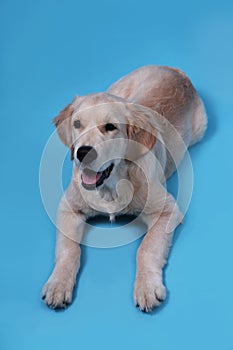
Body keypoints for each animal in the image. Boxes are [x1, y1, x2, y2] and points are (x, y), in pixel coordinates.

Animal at [41, 65, 207, 312]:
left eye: (110, 127)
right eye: (77, 124)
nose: (83, 152)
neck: (111, 186)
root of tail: (174, 69)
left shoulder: (166, 210)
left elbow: (146, 249)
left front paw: (147, 287)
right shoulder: (67, 207)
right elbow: (68, 249)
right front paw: (58, 284)